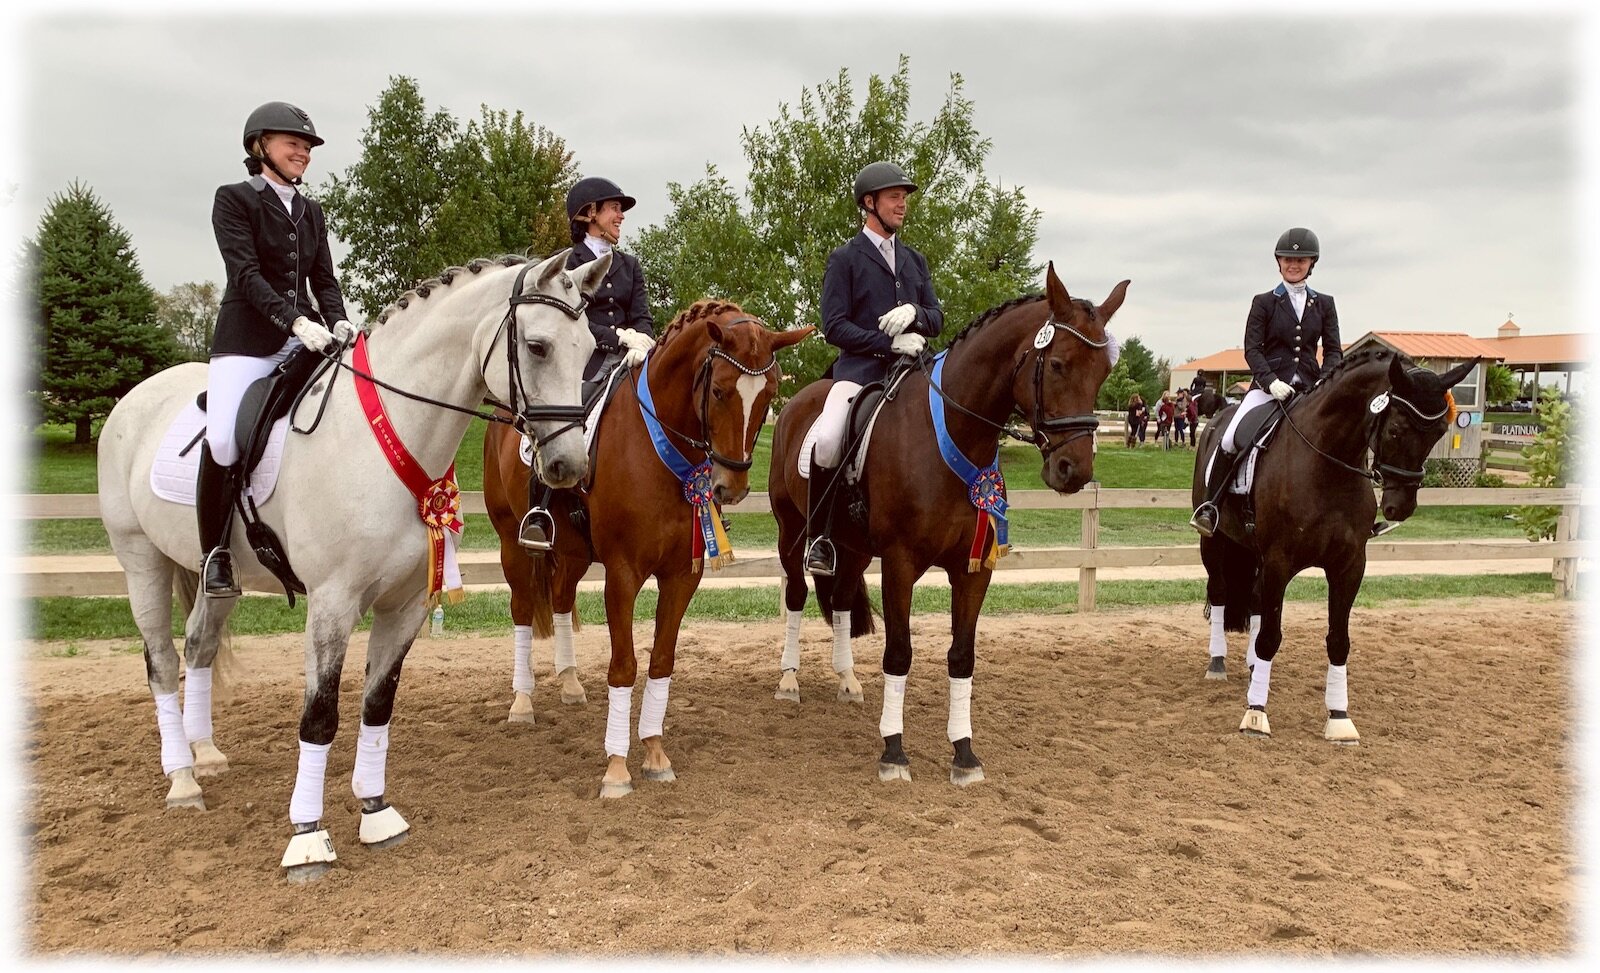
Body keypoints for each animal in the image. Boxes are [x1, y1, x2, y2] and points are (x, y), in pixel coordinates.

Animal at [95, 249, 604, 883]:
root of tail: (136, 396)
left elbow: (377, 704)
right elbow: (320, 715)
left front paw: (376, 812)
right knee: (162, 662)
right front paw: (308, 838)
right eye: (537, 347)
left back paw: (206, 754)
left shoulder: (406, 604)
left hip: (220, 581)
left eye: (590, 348)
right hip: (138, 556)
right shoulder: (332, 603)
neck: (385, 435)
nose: (568, 467)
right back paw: (183, 781)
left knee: (199, 647)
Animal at [483, 297, 812, 796]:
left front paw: (655, 753)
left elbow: (661, 661)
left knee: (559, 600)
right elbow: (624, 665)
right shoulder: (622, 573)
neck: (658, 449)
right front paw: (617, 769)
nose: (730, 487)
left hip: (573, 554)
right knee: (522, 610)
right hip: (512, 544)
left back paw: (570, 684)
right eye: (719, 391)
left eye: (769, 395)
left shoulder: (682, 575)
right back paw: (523, 703)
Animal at [764, 264, 1126, 784]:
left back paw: (847, 680)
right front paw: (894, 751)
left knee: (840, 600)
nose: (1073, 471)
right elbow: (899, 653)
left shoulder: (973, 569)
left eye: (1104, 373)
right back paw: (789, 680)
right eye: (1057, 364)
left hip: (853, 549)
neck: (952, 432)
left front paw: (964, 752)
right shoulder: (899, 564)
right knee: (796, 595)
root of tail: (799, 400)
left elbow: (961, 657)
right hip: (792, 533)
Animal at [1203, 353, 1472, 742]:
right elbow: (1270, 636)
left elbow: (1339, 641)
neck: (1326, 464)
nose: (1401, 507)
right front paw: (1255, 714)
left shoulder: (1350, 565)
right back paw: (1217, 663)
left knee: (1253, 600)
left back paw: (1254, 667)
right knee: (1221, 592)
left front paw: (1340, 717)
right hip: (1214, 542)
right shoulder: (1279, 561)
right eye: (1395, 430)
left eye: (1438, 434)